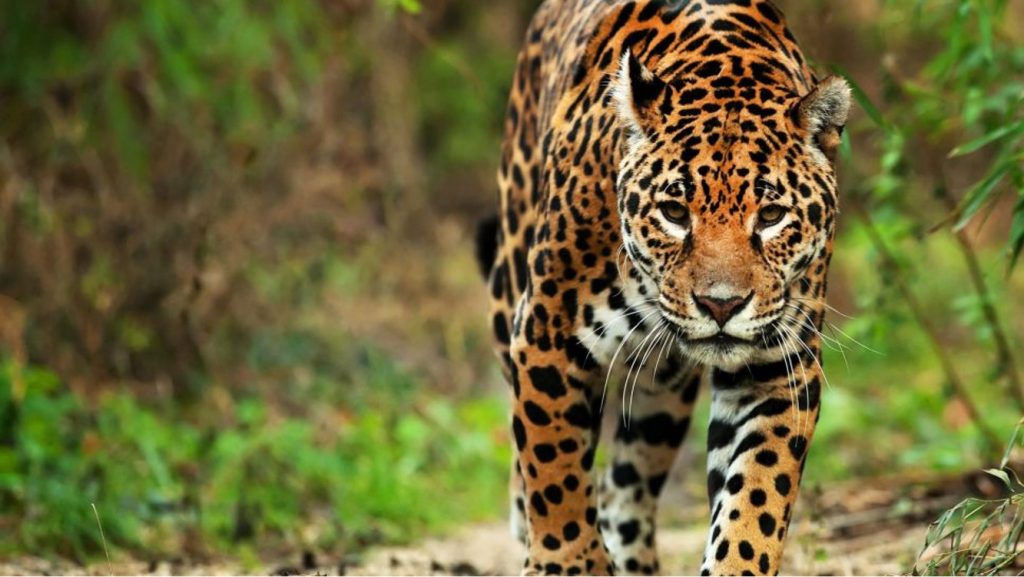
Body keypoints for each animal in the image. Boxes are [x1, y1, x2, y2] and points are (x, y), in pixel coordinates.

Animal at [475, 0, 851, 574]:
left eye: (771, 216)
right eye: (674, 212)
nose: (721, 305)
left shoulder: (777, 367)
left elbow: (756, 498)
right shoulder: (546, 334)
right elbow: (554, 467)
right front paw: (569, 561)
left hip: (661, 391)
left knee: (624, 489)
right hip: (507, 292)